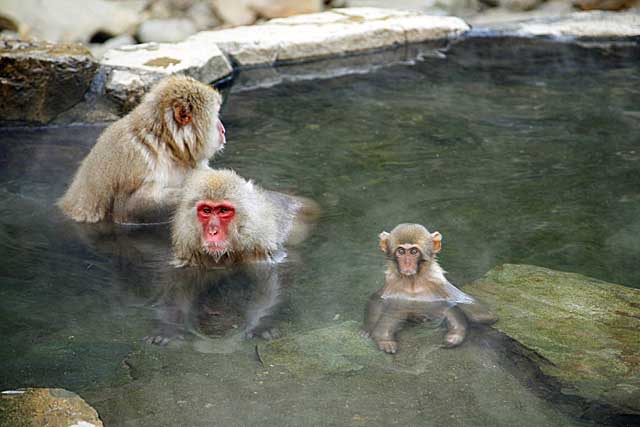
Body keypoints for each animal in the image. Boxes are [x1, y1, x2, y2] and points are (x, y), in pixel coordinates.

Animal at [362, 224, 498, 354]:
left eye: (414, 251)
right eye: (400, 251)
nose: (407, 263)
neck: (413, 282)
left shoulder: (439, 283)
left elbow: (483, 314)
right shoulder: (392, 284)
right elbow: (377, 299)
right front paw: (368, 329)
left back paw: (454, 335)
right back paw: (384, 338)